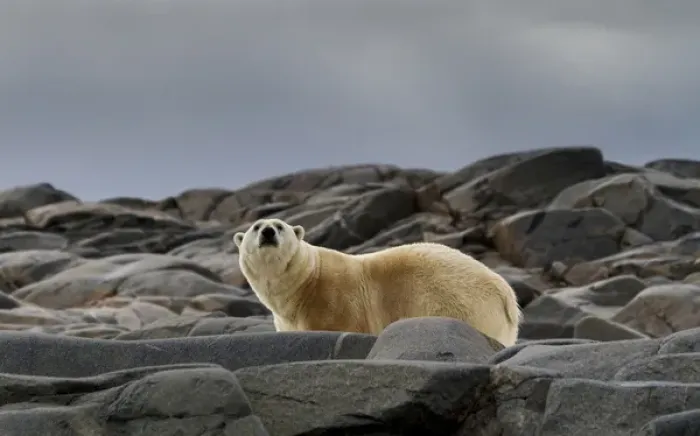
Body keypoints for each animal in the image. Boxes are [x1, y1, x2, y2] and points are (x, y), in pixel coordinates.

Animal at [233, 218, 522, 346]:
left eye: (280, 226)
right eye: (256, 227)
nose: (268, 232)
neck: (306, 282)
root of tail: (506, 292)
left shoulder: (335, 301)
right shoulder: (288, 319)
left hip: (460, 302)